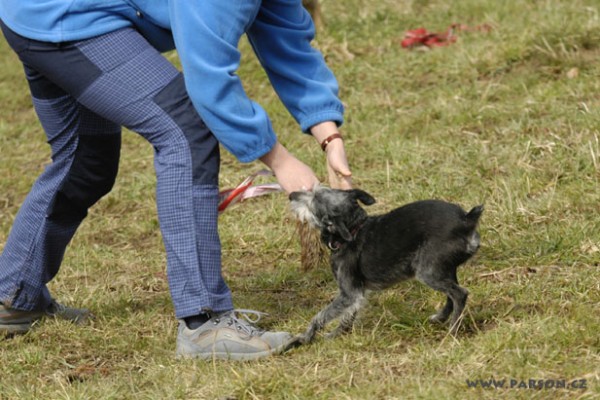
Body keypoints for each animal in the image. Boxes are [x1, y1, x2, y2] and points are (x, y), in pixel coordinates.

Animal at [290, 188, 482, 344]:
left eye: (312, 200)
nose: (291, 195)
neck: (353, 230)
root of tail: (467, 220)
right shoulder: (358, 293)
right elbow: (348, 316)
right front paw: (337, 334)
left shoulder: (348, 294)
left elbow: (320, 316)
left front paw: (306, 337)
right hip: (444, 270)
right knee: (451, 294)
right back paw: (440, 318)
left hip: (427, 272)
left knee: (460, 294)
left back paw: (452, 331)